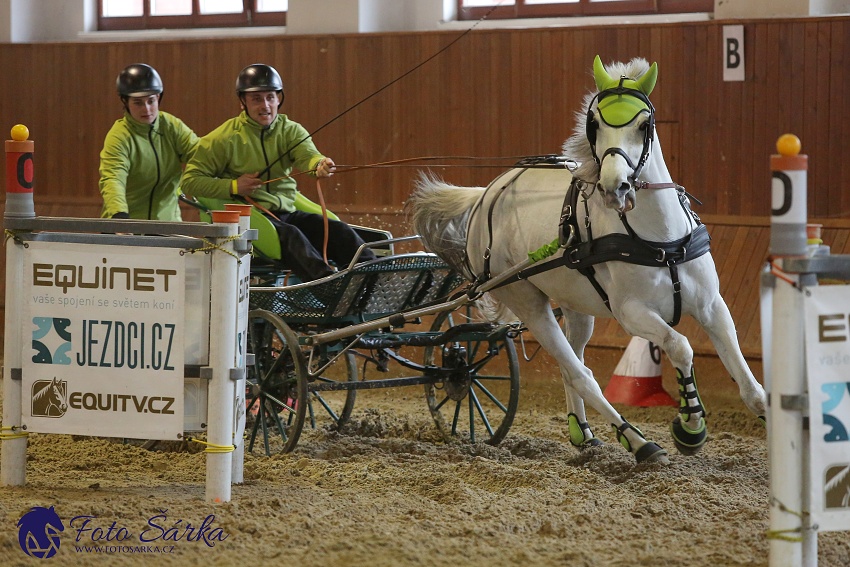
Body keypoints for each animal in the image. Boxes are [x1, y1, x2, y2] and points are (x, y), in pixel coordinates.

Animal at [408, 55, 764, 464]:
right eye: (594, 125)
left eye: (644, 125)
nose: (615, 187)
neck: (660, 242)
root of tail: (486, 195)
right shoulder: (632, 313)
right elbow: (680, 346)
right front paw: (690, 427)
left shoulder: (711, 306)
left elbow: (747, 379)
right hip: (528, 302)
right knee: (581, 374)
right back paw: (638, 441)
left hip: (577, 306)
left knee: (572, 365)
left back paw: (583, 433)